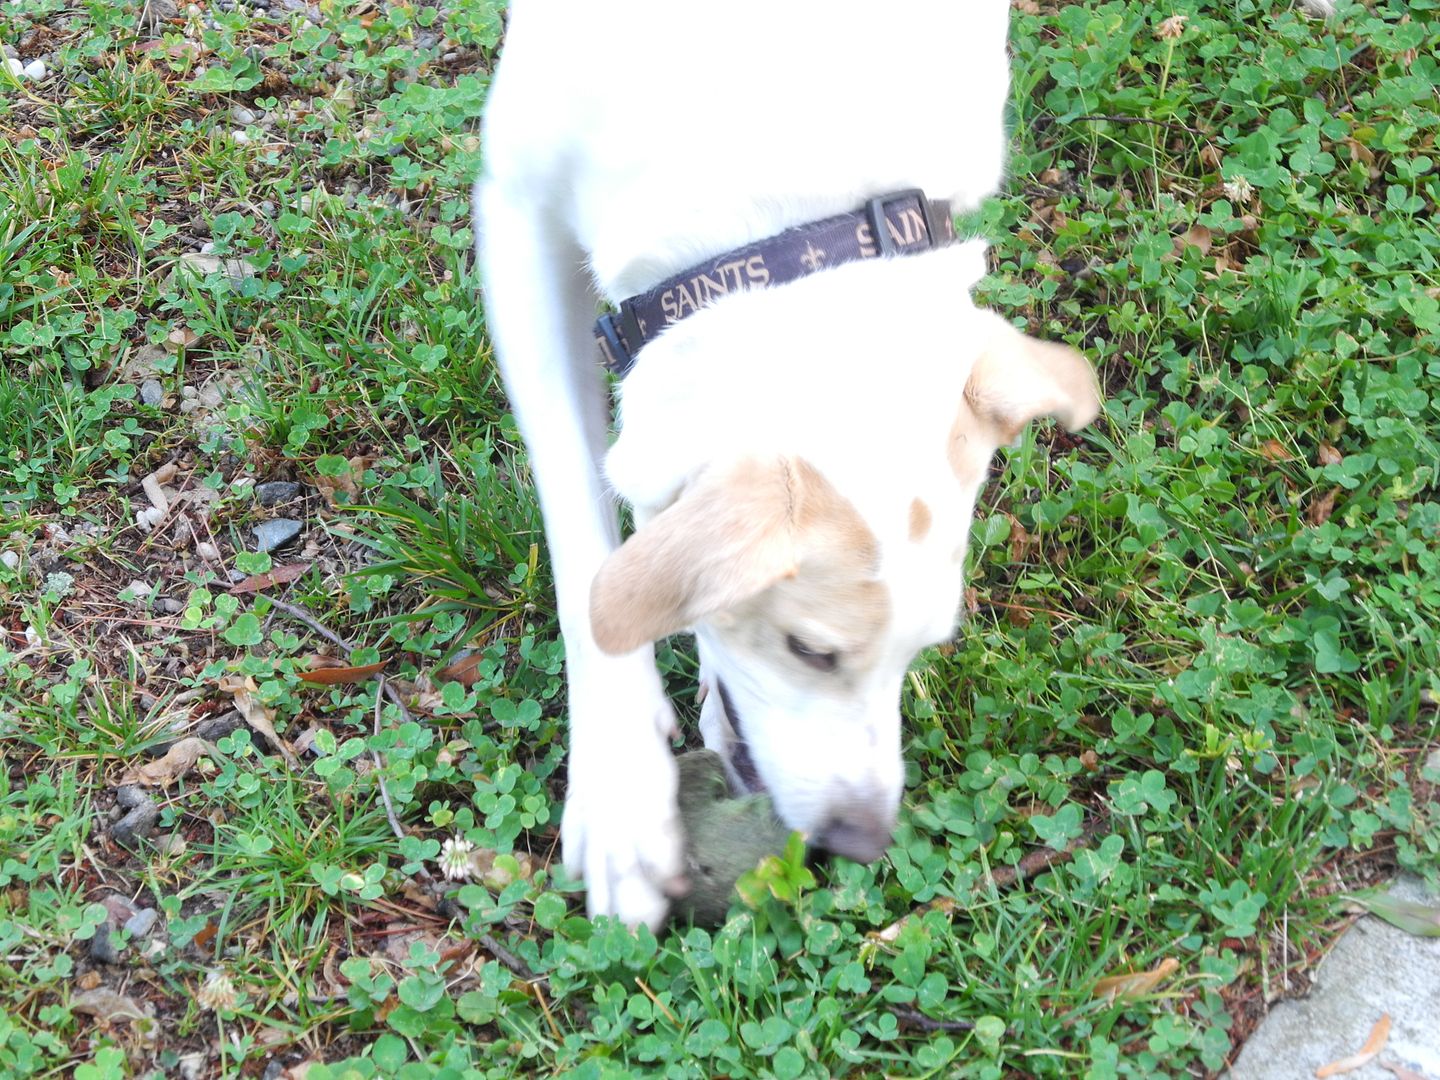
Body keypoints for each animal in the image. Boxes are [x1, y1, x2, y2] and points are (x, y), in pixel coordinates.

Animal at [475, 0, 1100, 933]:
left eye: (925, 649)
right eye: (811, 651)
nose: (861, 842)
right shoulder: (516, 214)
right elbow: (585, 550)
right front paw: (625, 796)